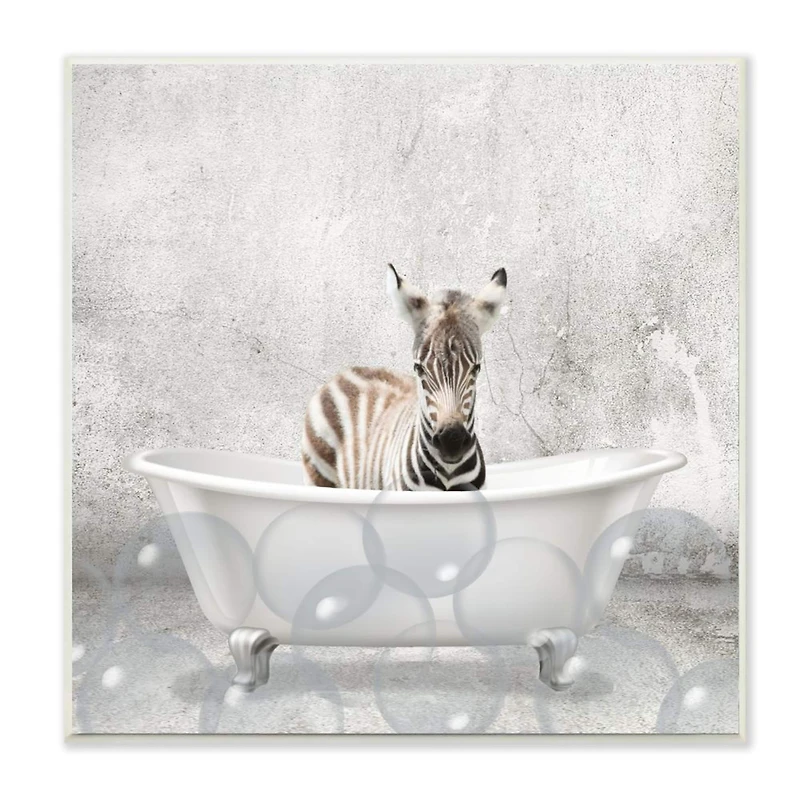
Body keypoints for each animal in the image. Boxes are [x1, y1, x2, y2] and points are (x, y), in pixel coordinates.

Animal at [301, 264, 508, 491]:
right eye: (419, 368)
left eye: (476, 368)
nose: (451, 441)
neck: (448, 472)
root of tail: (345, 371)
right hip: (319, 474)